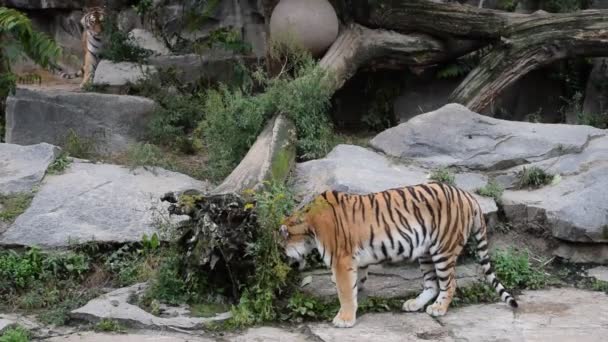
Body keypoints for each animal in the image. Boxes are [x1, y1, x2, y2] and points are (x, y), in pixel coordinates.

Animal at [280, 183, 516, 328]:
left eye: (283, 243)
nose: (285, 260)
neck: (310, 227)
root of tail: (468, 195)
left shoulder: (341, 260)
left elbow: (345, 291)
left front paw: (344, 319)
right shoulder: (355, 261)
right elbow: (356, 283)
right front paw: (356, 298)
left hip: (443, 249)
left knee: (449, 284)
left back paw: (438, 308)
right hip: (426, 253)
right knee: (432, 285)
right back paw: (414, 304)